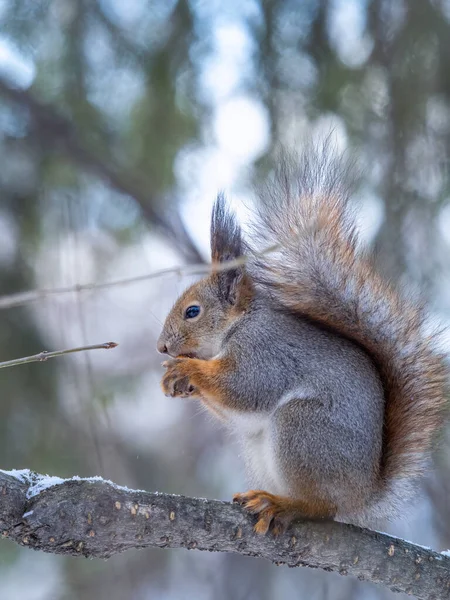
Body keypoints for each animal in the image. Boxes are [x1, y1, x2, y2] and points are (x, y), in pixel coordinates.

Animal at [155, 146, 446, 536]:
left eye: (192, 311)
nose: (161, 347)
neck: (239, 325)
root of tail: (363, 494)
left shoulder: (265, 350)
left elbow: (246, 387)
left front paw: (187, 369)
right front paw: (175, 379)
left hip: (303, 430)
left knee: (322, 507)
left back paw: (283, 504)